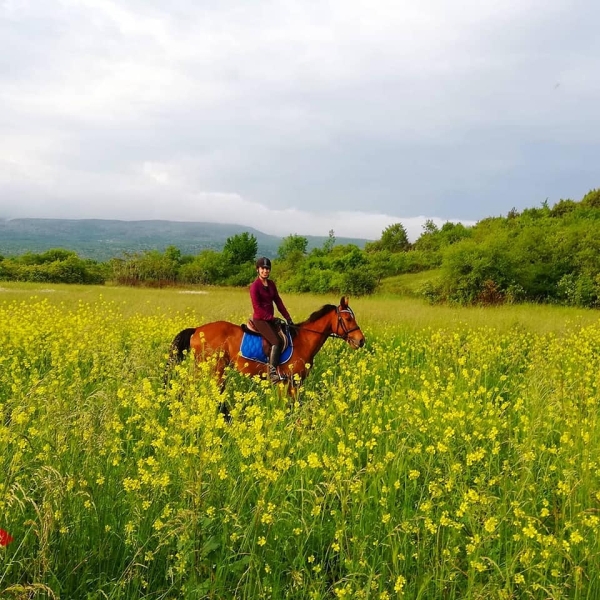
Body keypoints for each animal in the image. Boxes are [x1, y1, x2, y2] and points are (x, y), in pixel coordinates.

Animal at [166, 296, 368, 398]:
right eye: (348, 318)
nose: (361, 340)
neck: (304, 340)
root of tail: (197, 330)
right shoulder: (291, 382)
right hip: (212, 369)